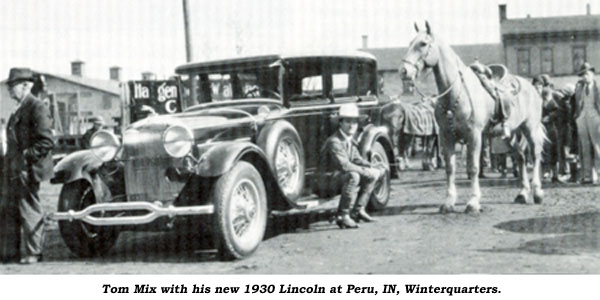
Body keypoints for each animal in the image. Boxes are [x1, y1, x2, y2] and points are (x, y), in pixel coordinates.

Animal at [400, 21, 548, 213]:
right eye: (410, 42)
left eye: (423, 44)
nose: (404, 71)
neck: (455, 94)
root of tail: (531, 87)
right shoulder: (446, 136)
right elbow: (450, 168)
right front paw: (449, 202)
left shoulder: (474, 136)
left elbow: (473, 167)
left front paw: (473, 202)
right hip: (510, 133)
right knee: (520, 156)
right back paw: (522, 193)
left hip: (530, 128)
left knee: (535, 154)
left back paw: (537, 192)